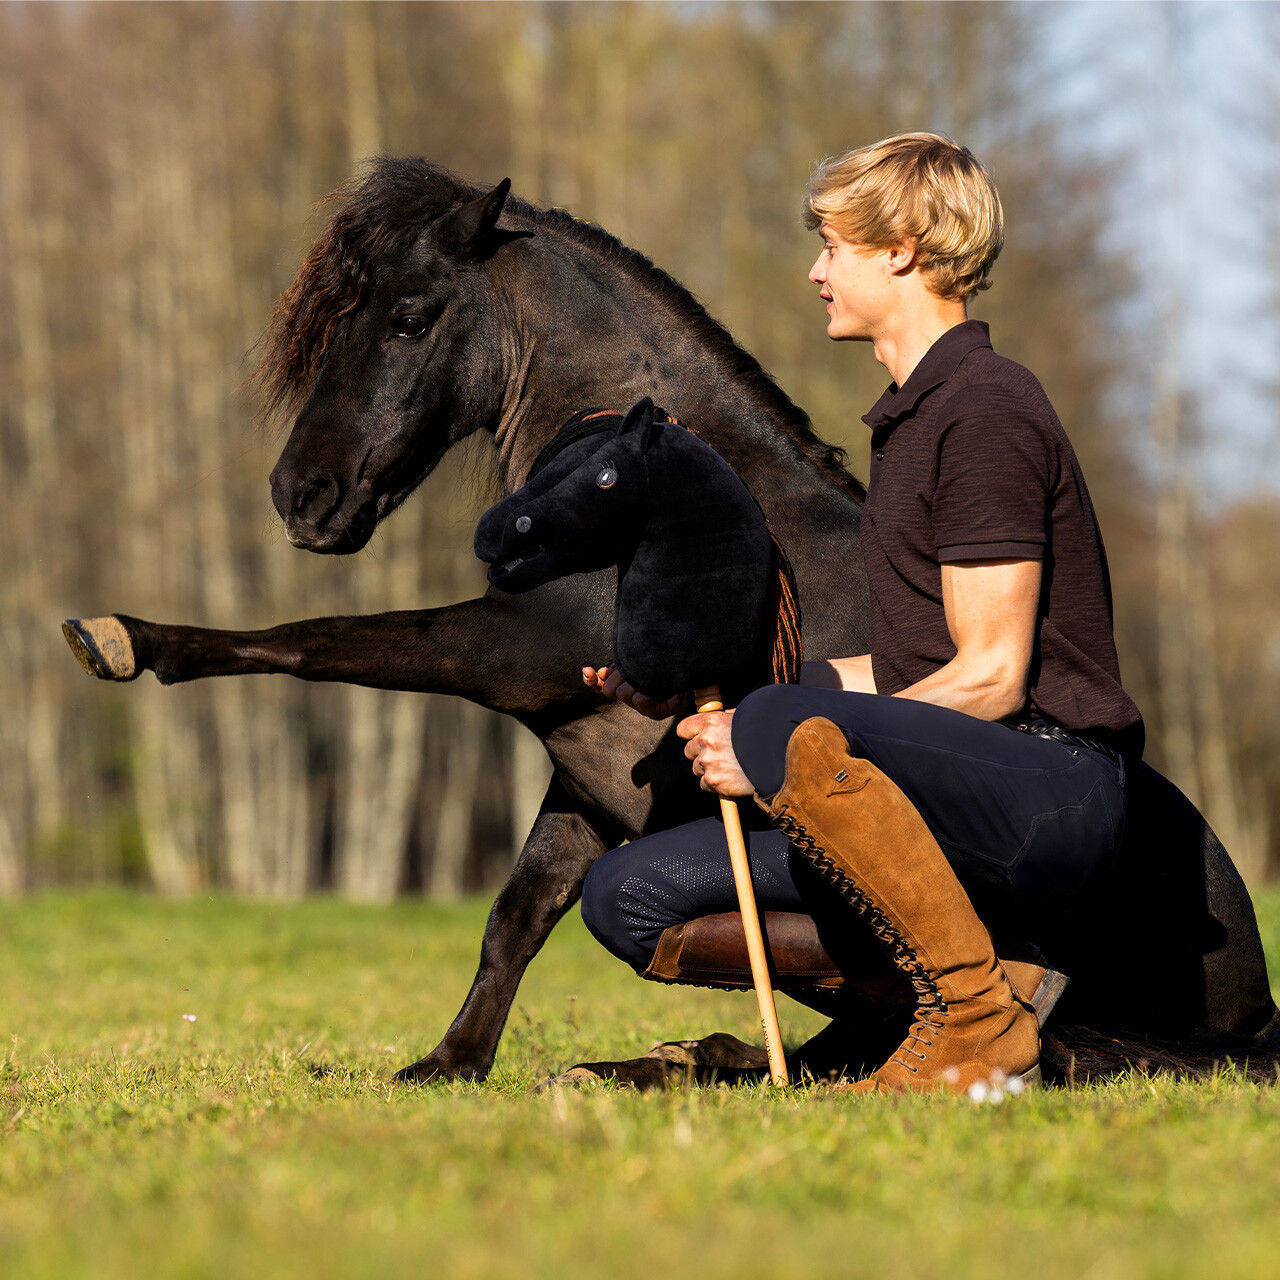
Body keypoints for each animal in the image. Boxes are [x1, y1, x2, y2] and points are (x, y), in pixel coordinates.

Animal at [63, 158, 1279, 1083]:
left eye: (409, 318)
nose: (299, 495)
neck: (658, 486)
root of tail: (1256, 1004)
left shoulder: (501, 652)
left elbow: (315, 642)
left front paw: (129, 639)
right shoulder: (584, 763)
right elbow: (518, 910)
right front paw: (450, 1063)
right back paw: (681, 1055)